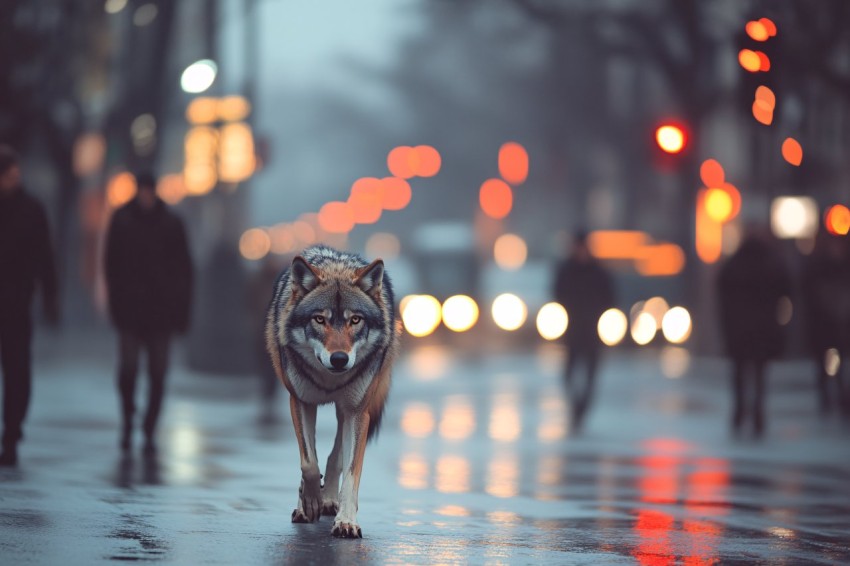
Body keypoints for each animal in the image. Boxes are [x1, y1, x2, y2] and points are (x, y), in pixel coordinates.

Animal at [264, 246, 400, 540]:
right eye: (319, 319)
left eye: (355, 320)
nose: (339, 359)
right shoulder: (301, 401)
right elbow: (308, 463)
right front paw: (310, 501)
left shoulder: (358, 411)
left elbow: (350, 473)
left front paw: (346, 521)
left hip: (350, 410)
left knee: (336, 454)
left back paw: (328, 499)